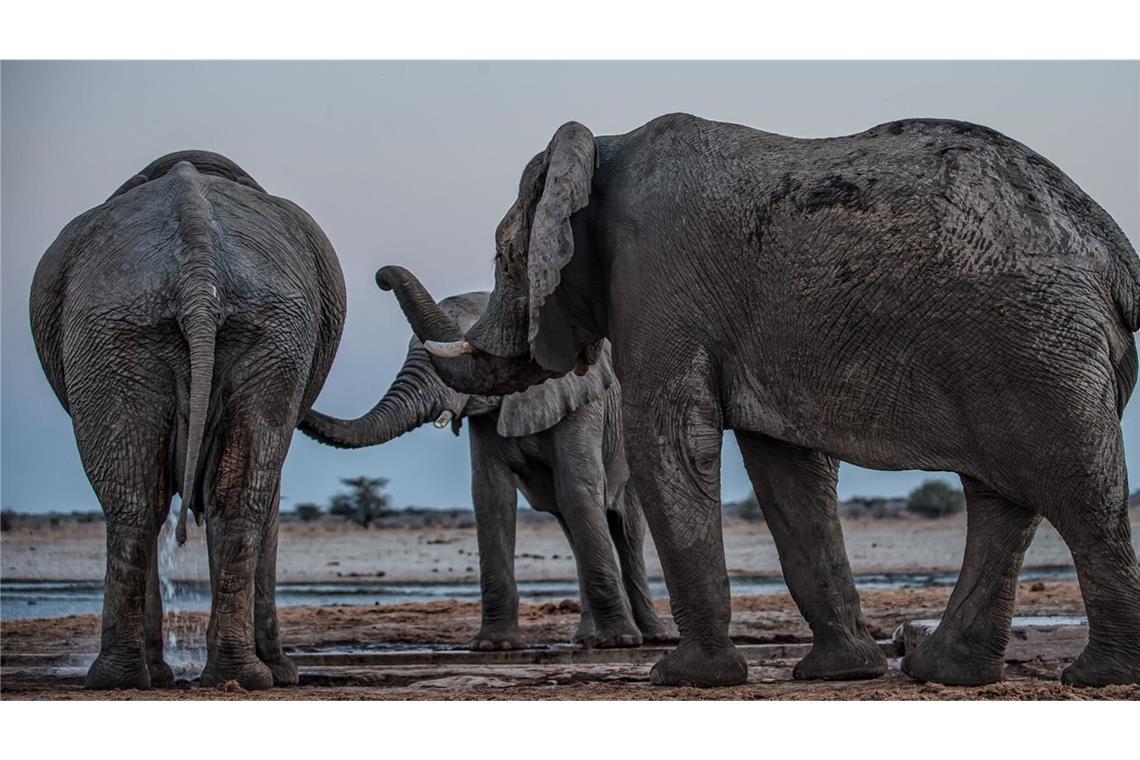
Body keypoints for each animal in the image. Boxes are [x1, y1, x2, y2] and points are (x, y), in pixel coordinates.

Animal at [32, 148, 346, 688]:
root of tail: (198, 277)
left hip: (161, 333)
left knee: (150, 503)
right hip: (140, 331)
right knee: (165, 503)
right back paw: (176, 677)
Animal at [300, 276, 665, 651]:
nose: (382, 279)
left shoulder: (582, 402)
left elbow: (577, 488)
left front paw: (619, 642)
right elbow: (491, 495)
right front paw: (494, 645)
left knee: (625, 529)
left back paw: (651, 635)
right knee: (571, 525)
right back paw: (586, 639)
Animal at [376, 112, 1140, 688]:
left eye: (505, 255)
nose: (381, 275)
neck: (602, 148)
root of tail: (1113, 246)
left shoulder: (658, 279)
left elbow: (670, 440)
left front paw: (683, 679)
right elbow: (786, 470)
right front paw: (840, 673)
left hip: (1040, 340)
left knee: (1076, 489)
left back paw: (1096, 677)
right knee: (1002, 500)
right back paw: (944, 672)